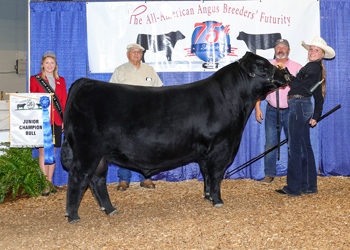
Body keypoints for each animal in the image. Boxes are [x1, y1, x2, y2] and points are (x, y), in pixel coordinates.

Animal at [60, 51, 290, 224]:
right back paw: (73, 216)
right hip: (88, 151)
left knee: (97, 180)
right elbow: (216, 175)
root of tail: (86, 82)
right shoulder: (221, 147)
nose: (285, 73)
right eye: (264, 67)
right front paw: (218, 201)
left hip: (100, 156)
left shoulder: (206, 152)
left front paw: (207, 196)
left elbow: (206, 175)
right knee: (78, 177)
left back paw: (109, 209)